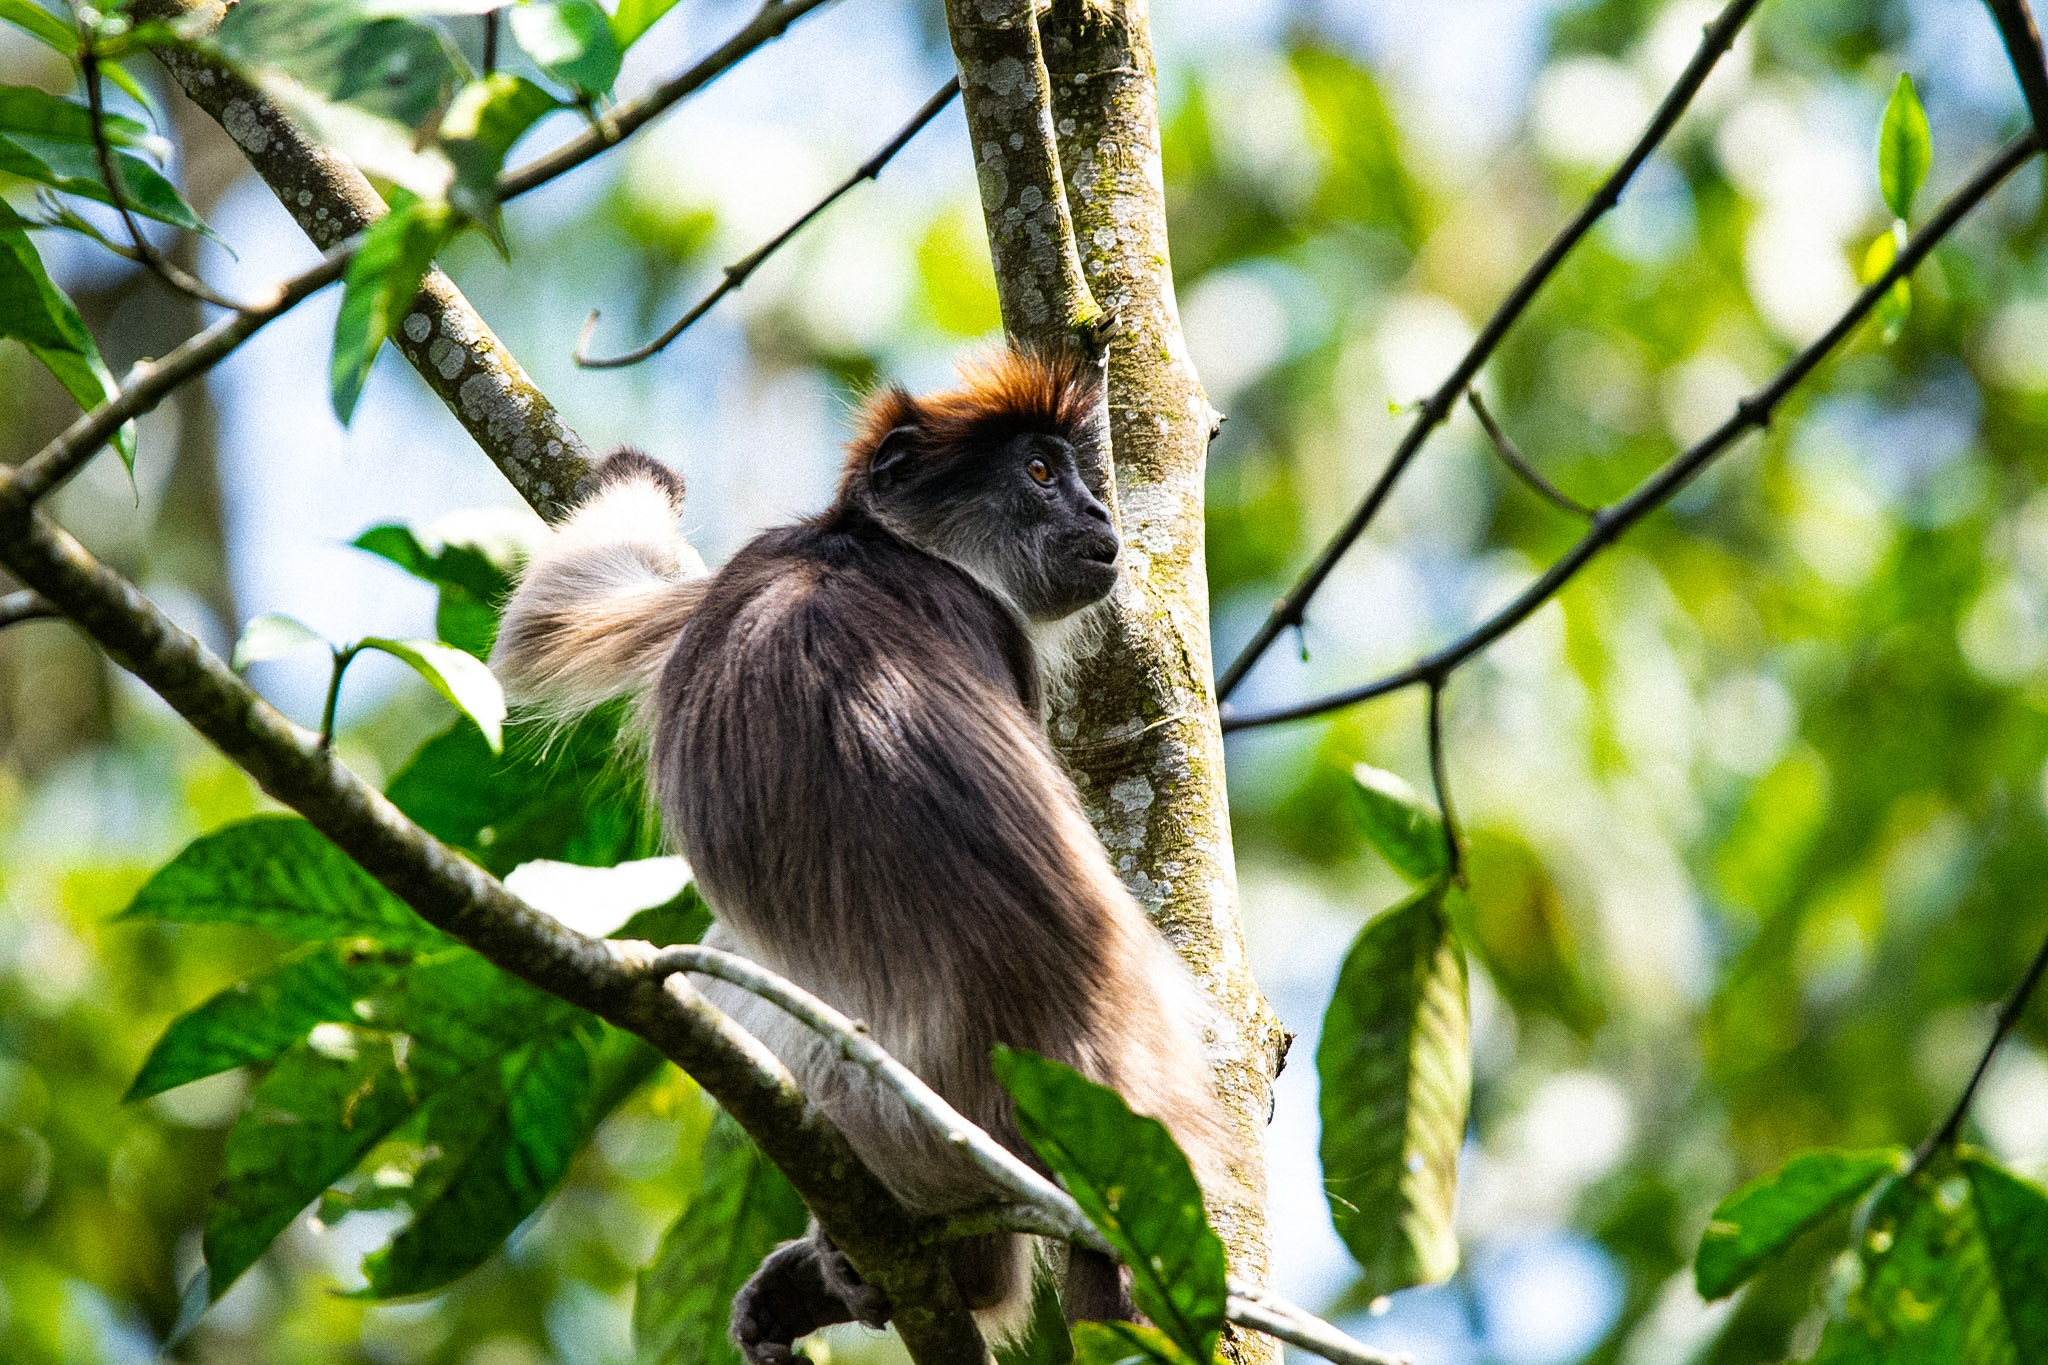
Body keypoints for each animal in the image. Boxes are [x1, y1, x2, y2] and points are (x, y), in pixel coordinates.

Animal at [491, 348, 1240, 1362]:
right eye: (1041, 472)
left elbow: (545, 621)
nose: (1097, 513)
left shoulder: (758, 564)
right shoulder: (975, 621)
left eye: (1074, 475)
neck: (872, 546)